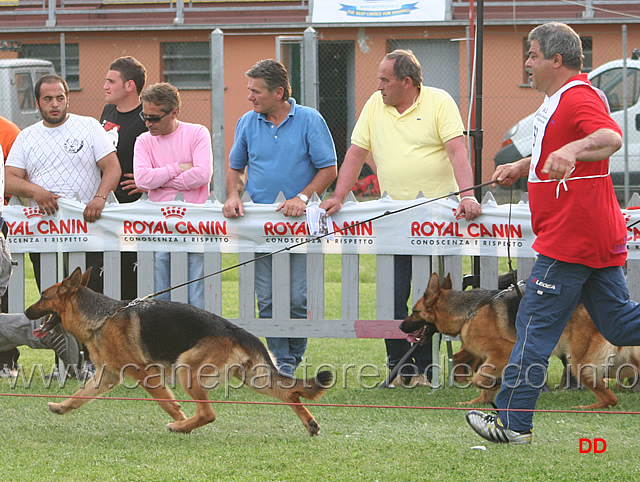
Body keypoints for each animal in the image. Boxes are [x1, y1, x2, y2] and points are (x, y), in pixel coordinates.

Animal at [23, 268, 336, 436]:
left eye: (43, 297)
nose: (26, 312)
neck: (101, 316)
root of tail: (239, 332)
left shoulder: (145, 374)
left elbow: (167, 402)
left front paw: (179, 418)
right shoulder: (107, 376)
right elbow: (80, 396)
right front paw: (62, 407)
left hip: (187, 368)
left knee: (208, 413)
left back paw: (182, 427)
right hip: (253, 378)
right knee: (290, 393)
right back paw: (309, 423)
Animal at [400, 274, 640, 408]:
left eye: (415, 311)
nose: (401, 327)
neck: (469, 312)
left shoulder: (503, 352)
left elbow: (479, 379)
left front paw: (491, 387)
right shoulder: (493, 359)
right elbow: (482, 384)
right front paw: (478, 401)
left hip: (580, 364)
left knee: (610, 399)